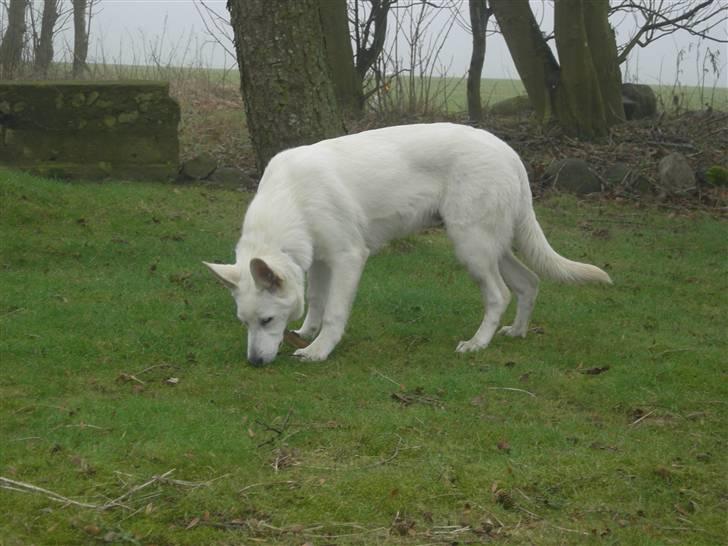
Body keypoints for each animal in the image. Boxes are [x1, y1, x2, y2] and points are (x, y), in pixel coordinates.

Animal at [202, 121, 612, 364]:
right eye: (245, 323)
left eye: (267, 320)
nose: (254, 362)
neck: (291, 198)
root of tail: (509, 153)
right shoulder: (319, 261)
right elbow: (315, 301)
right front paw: (305, 334)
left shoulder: (348, 258)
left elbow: (334, 312)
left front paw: (318, 350)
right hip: (491, 246)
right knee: (529, 283)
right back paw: (517, 332)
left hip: (472, 247)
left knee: (500, 294)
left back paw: (477, 343)